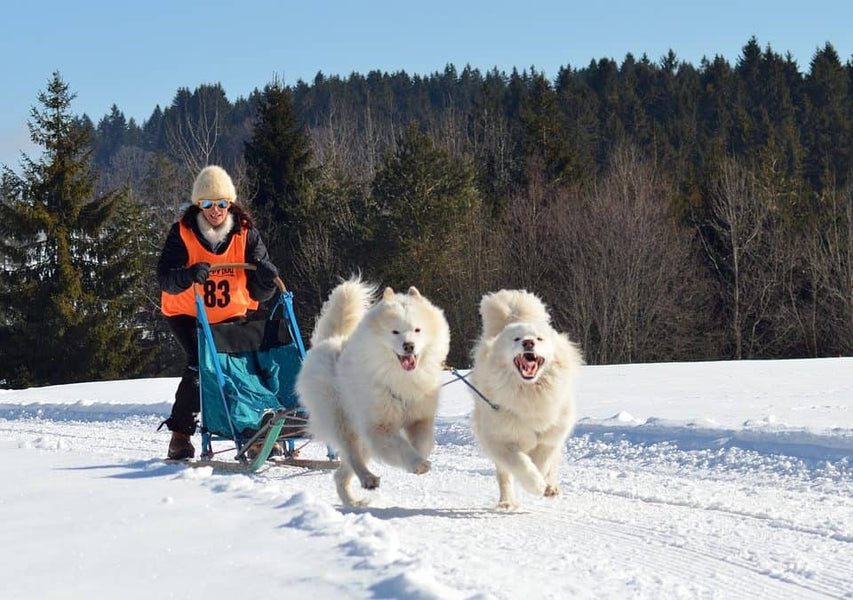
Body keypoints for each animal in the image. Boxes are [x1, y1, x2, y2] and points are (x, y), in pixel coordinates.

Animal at [294, 278, 450, 506]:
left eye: (417, 330)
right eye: (395, 332)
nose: (409, 346)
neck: (400, 377)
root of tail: (328, 341)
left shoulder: (420, 417)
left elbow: (423, 443)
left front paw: (418, 458)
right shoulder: (379, 426)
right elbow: (401, 446)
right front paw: (416, 463)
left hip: (361, 437)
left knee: (340, 473)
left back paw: (353, 500)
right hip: (342, 421)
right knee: (351, 455)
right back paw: (367, 478)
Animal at [470, 288, 584, 508]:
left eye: (539, 339)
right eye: (516, 339)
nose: (528, 342)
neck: (530, 393)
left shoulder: (551, 436)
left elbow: (542, 461)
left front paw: (544, 485)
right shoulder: (500, 440)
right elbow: (521, 464)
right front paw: (535, 485)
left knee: (553, 464)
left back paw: (551, 487)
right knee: (504, 476)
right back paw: (507, 503)